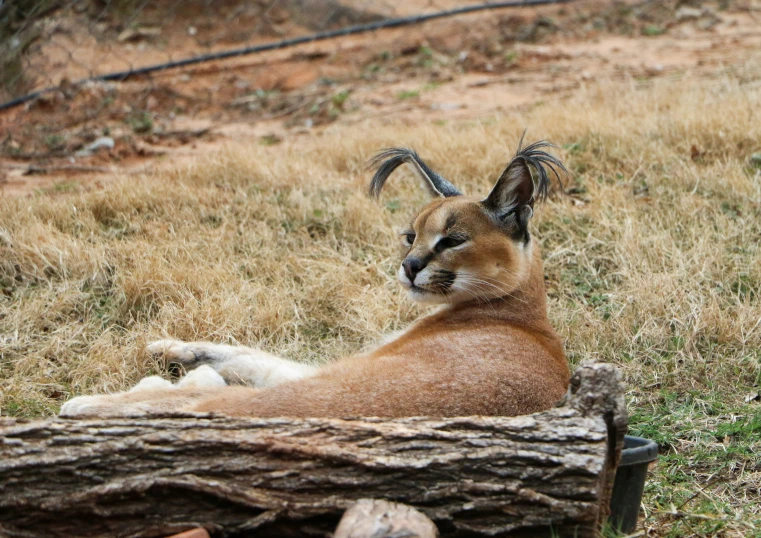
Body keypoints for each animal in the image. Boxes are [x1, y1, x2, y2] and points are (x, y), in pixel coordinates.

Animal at [59, 140, 568, 416]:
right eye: (410, 236)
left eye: (453, 240)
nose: (409, 266)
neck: (523, 310)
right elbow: (252, 355)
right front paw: (172, 346)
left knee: (190, 401)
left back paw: (86, 405)